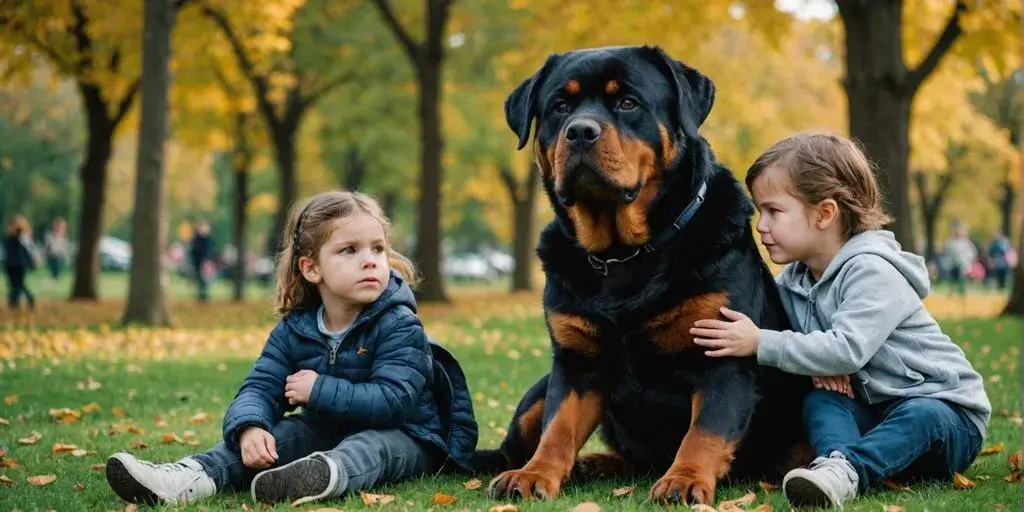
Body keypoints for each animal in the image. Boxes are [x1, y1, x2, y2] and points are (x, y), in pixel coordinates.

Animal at [471, 47, 815, 503]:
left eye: (627, 102)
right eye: (560, 107)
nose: (580, 131)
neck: (623, 256)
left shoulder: (722, 354)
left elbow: (704, 430)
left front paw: (684, 479)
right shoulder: (575, 363)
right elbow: (558, 427)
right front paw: (534, 474)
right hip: (539, 390)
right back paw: (591, 464)